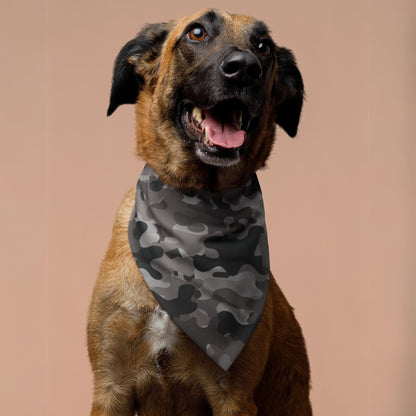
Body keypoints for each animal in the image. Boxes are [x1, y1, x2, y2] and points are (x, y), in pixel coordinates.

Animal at [88, 8, 310, 414]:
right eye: (196, 32)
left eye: (264, 47)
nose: (245, 68)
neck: (195, 206)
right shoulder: (110, 386)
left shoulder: (233, 395)